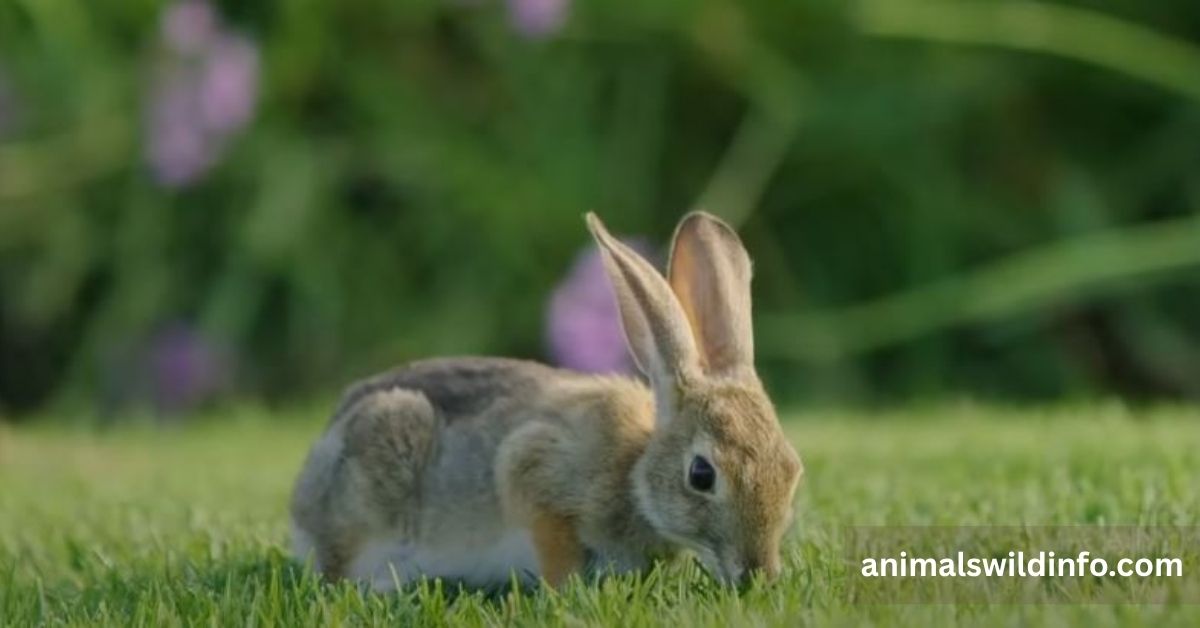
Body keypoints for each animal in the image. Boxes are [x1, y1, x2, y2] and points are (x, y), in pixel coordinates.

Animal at [289, 211, 804, 590]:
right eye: (701, 475)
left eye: (791, 470)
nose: (758, 576)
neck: (634, 469)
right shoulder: (533, 472)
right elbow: (552, 541)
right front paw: (566, 590)